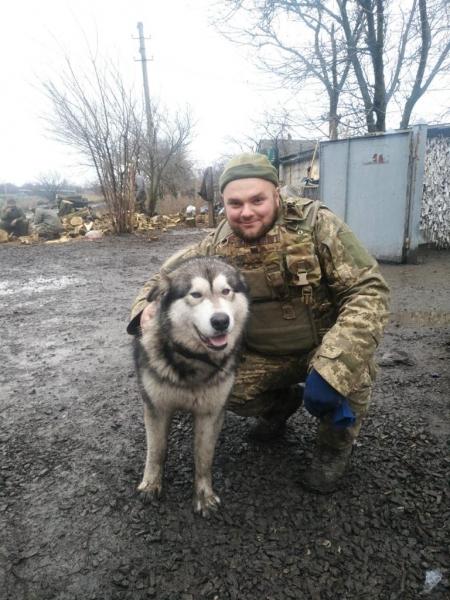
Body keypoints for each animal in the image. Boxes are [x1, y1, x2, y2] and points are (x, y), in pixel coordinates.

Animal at [134, 256, 251, 516]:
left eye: (226, 291)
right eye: (196, 294)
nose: (221, 321)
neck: (194, 361)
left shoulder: (209, 413)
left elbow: (204, 458)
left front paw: (203, 496)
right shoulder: (157, 408)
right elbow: (156, 450)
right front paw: (151, 484)